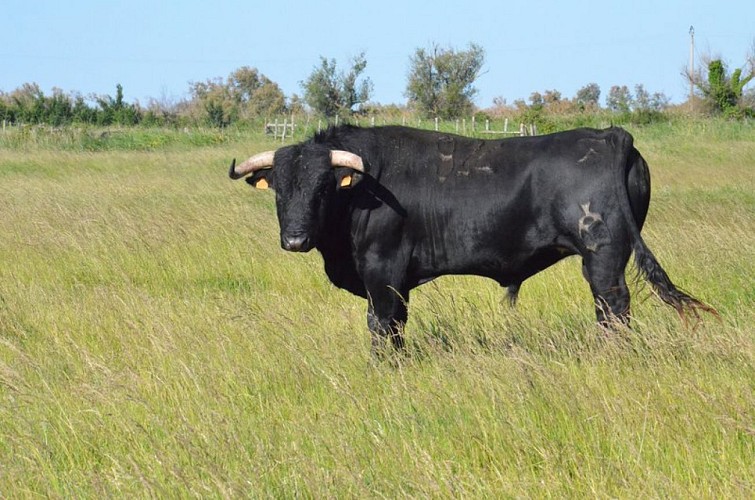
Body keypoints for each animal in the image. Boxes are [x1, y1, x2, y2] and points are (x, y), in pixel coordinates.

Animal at [227, 125, 716, 352]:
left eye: (323, 188)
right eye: (281, 189)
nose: (295, 239)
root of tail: (609, 135)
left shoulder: (383, 274)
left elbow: (383, 327)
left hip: (603, 256)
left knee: (612, 308)